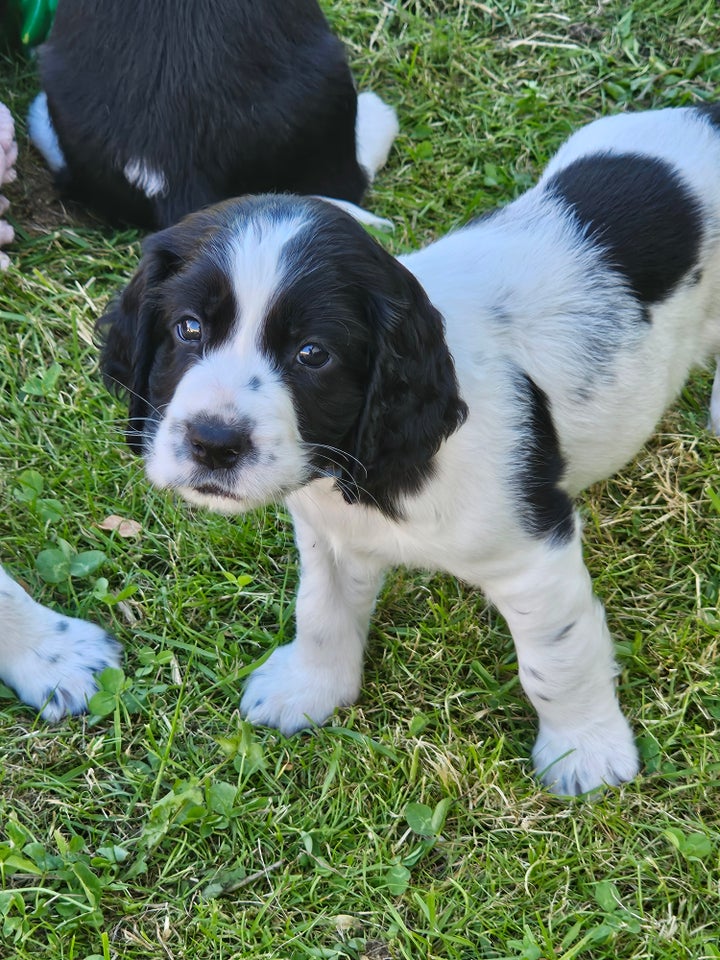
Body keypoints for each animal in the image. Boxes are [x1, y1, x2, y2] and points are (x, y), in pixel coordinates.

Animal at [100, 103, 720, 796]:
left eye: (312, 354)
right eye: (188, 328)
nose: (213, 443)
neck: (374, 467)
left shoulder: (537, 554)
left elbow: (556, 661)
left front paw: (584, 752)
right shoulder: (330, 534)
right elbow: (321, 611)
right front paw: (308, 690)